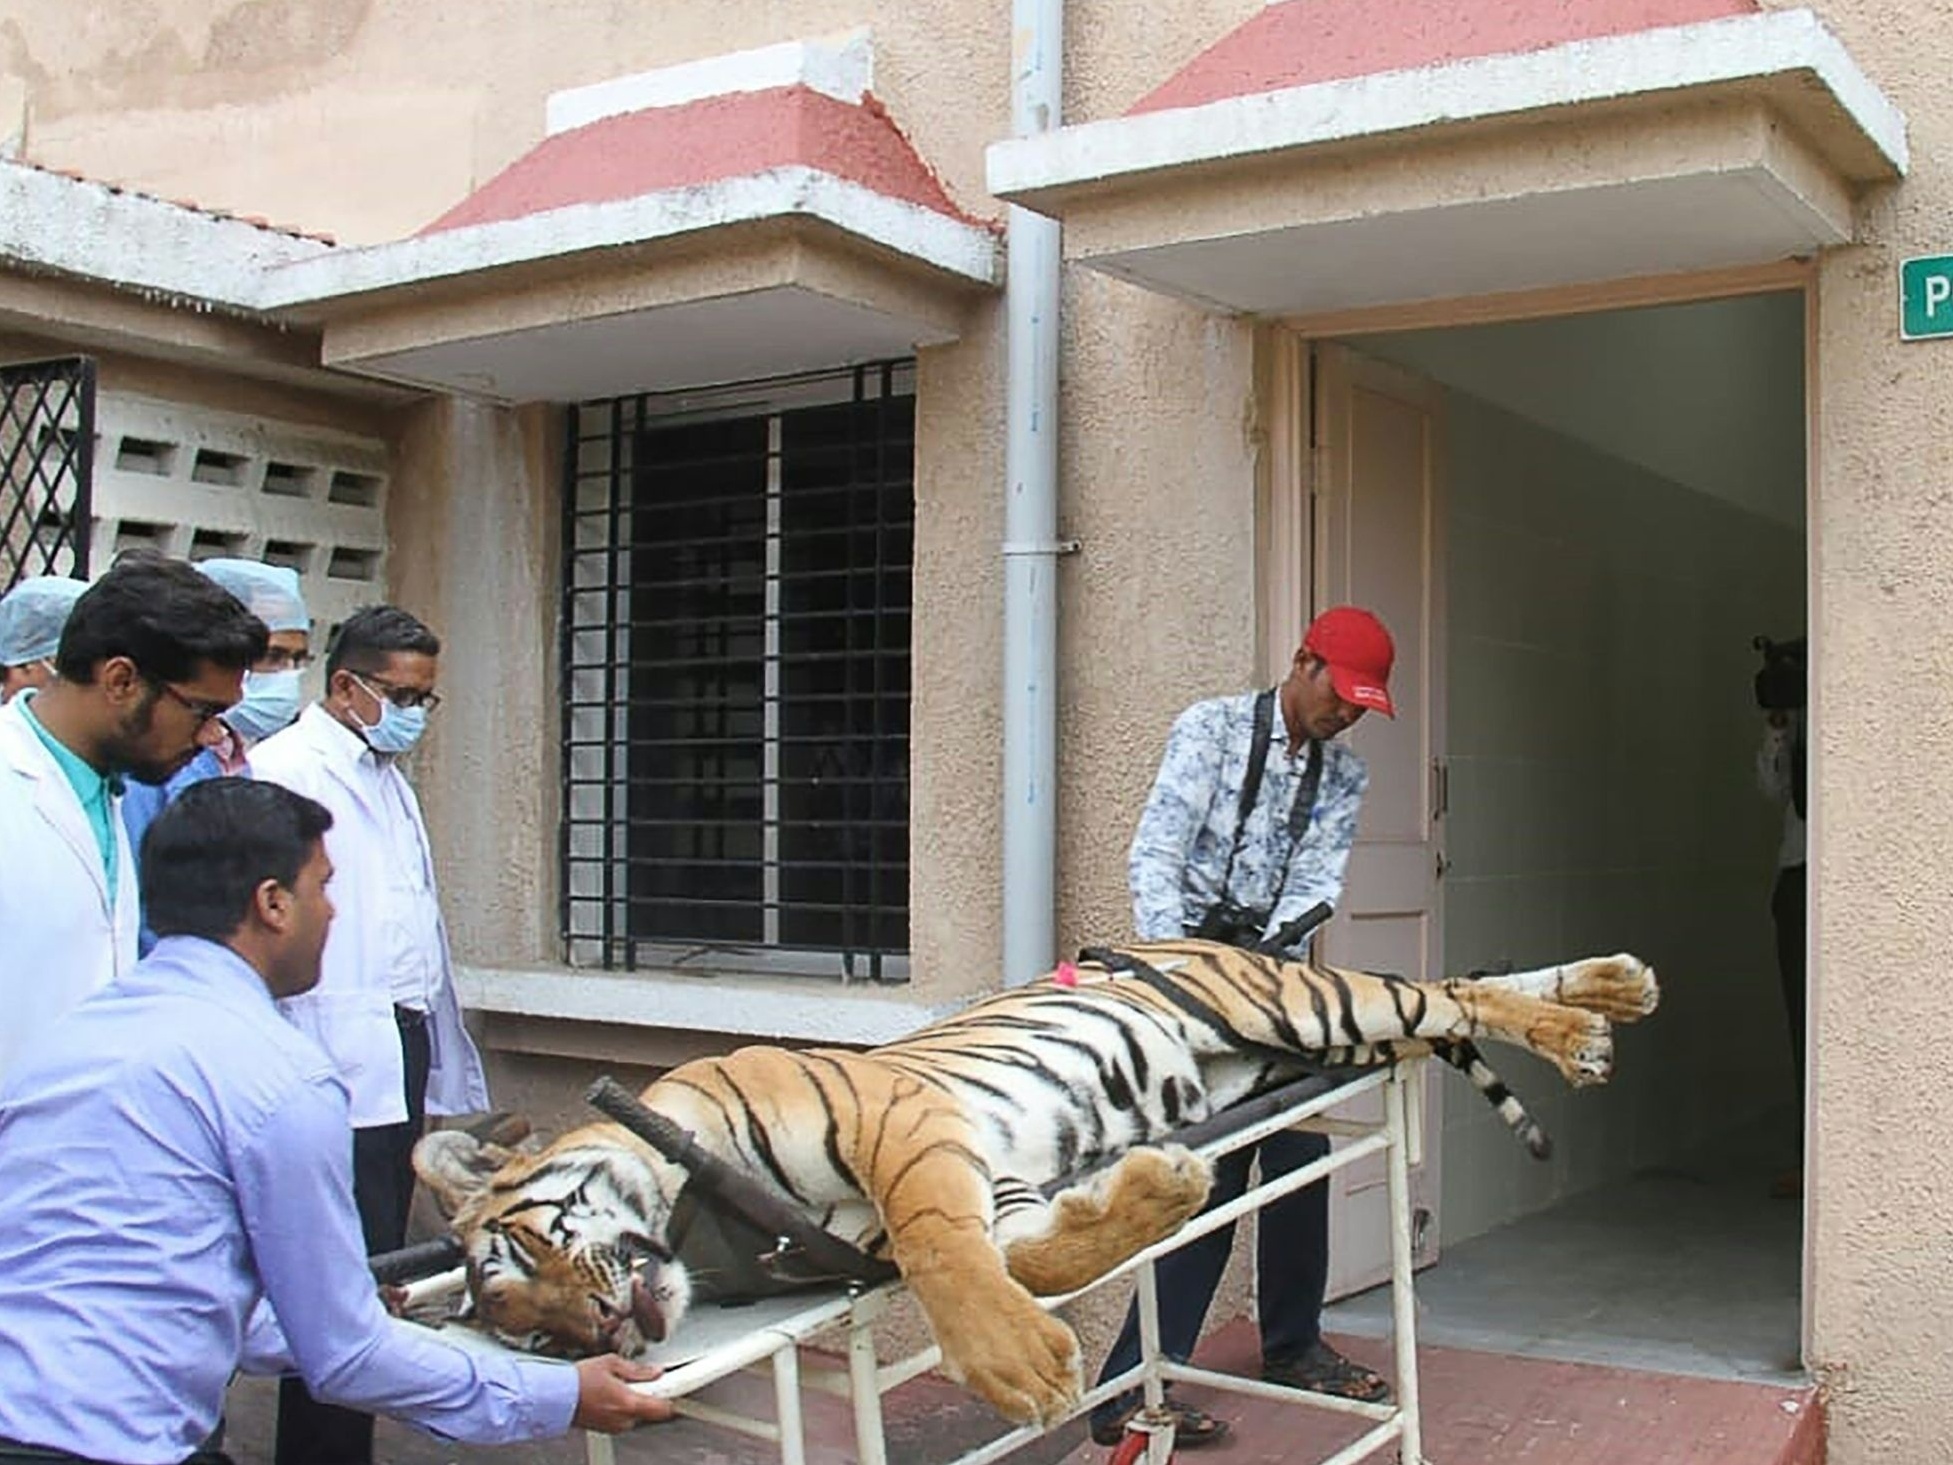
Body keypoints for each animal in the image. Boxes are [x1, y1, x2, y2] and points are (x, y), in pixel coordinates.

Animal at [415, 941, 1663, 1437]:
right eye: (531, 1344)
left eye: (520, 1254)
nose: (593, 1338)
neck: (701, 1228)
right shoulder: (987, 1187)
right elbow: (1039, 1252)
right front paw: (1156, 1188)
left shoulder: (897, 1125)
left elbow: (946, 1255)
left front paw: (1018, 1368)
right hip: (1310, 1036)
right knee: (1447, 989)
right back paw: (1610, 996)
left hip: (1302, 1005)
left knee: (1447, 989)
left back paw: (1592, 1021)